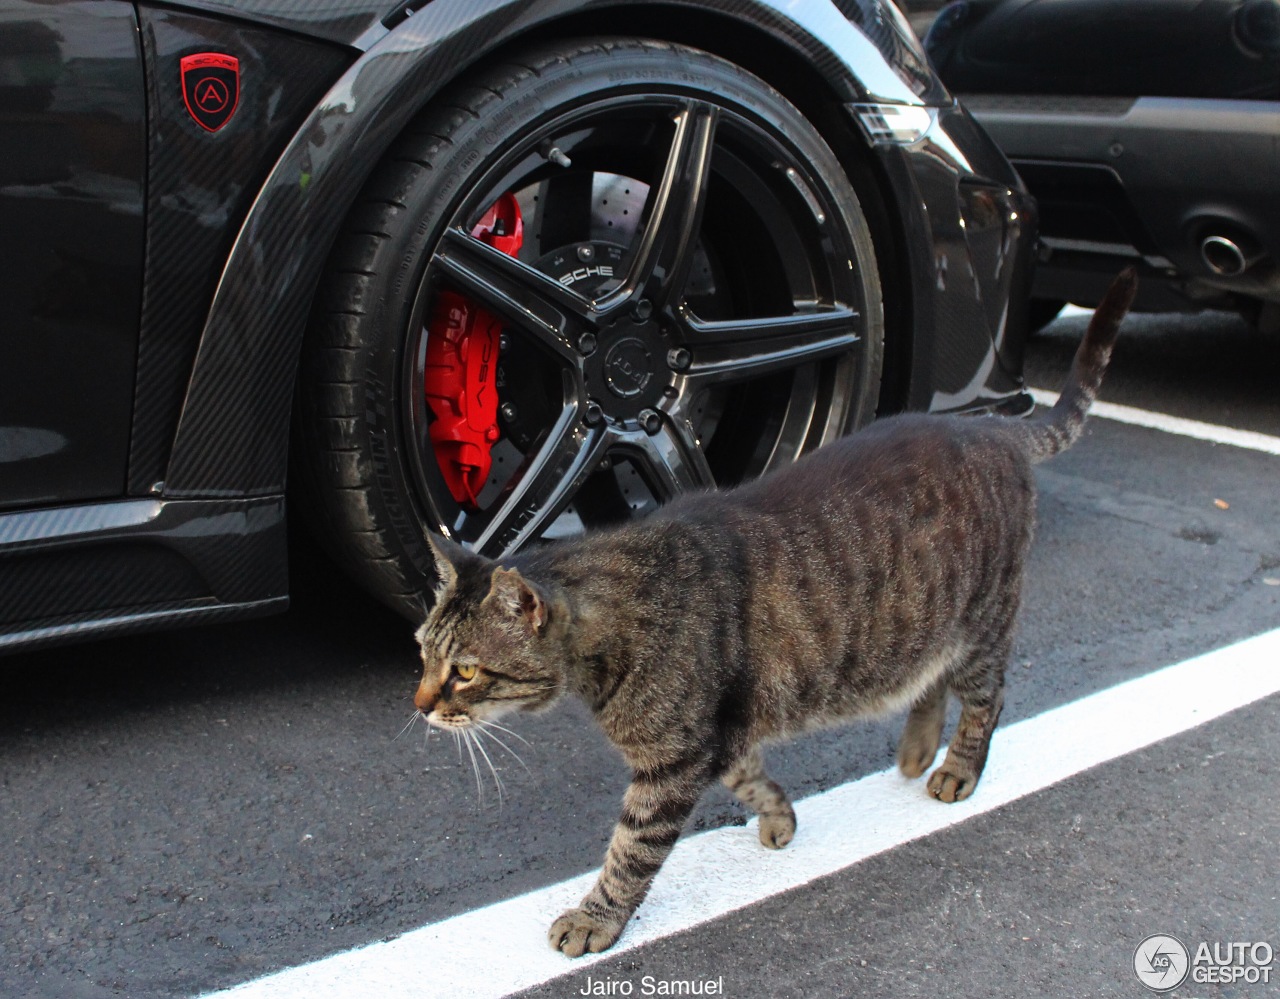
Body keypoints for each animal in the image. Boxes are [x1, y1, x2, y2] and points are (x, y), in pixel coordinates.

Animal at [412, 268, 1141, 958]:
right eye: (422, 651)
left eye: (466, 671)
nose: (419, 706)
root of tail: (987, 425)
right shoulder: (723, 732)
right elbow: (750, 778)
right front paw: (778, 818)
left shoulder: (673, 763)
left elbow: (630, 851)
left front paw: (595, 919)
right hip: (922, 624)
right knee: (927, 677)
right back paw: (914, 748)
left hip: (980, 625)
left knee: (988, 699)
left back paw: (956, 767)